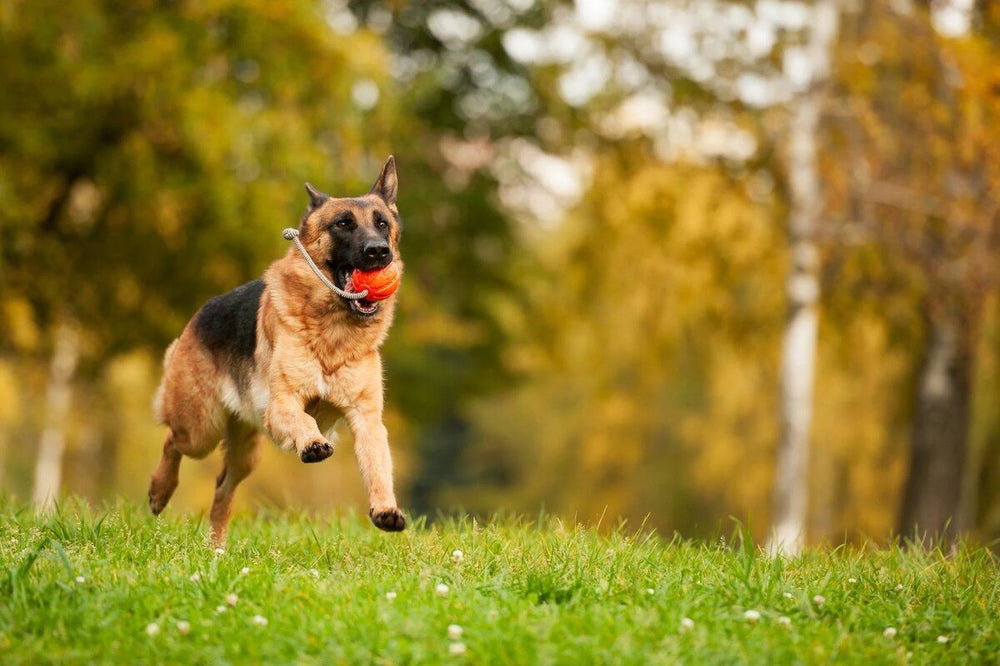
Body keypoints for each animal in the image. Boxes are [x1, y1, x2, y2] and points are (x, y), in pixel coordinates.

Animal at [146, 157, 404, 544]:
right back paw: (160, 491)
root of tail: (198, 316)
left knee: (223, 485)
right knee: (172, 441)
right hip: (200, 428)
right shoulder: (283, 404)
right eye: (343, 224)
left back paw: (216, 547)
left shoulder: (366, 419)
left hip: (246, 452)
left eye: (382, 223)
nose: (378, 251)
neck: (334, 333)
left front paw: (385, 507)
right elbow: (305, 419)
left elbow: (377, 467)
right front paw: (311, 442)